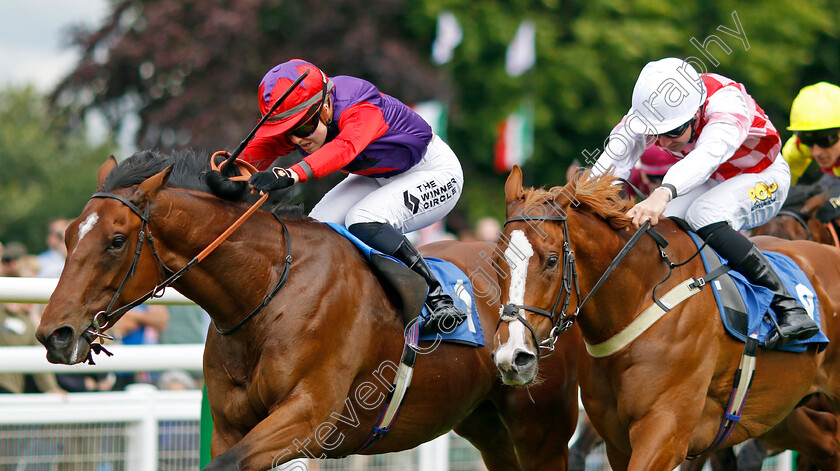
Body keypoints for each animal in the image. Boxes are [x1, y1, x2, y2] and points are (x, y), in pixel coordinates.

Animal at [34, 152, 584, 471]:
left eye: (116, 241)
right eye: (68, 235)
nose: (53, 333)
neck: (266, 292)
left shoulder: (307, 417)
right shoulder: (232, 425)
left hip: (541, 428)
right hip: (488, 425)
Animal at [488, 165, 840, 468]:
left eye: (550, 261)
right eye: (496, 262)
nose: (512, 356)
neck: (642, 300)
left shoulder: (665, 430)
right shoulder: (617, 441)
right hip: (776, 410)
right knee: (827, 444)